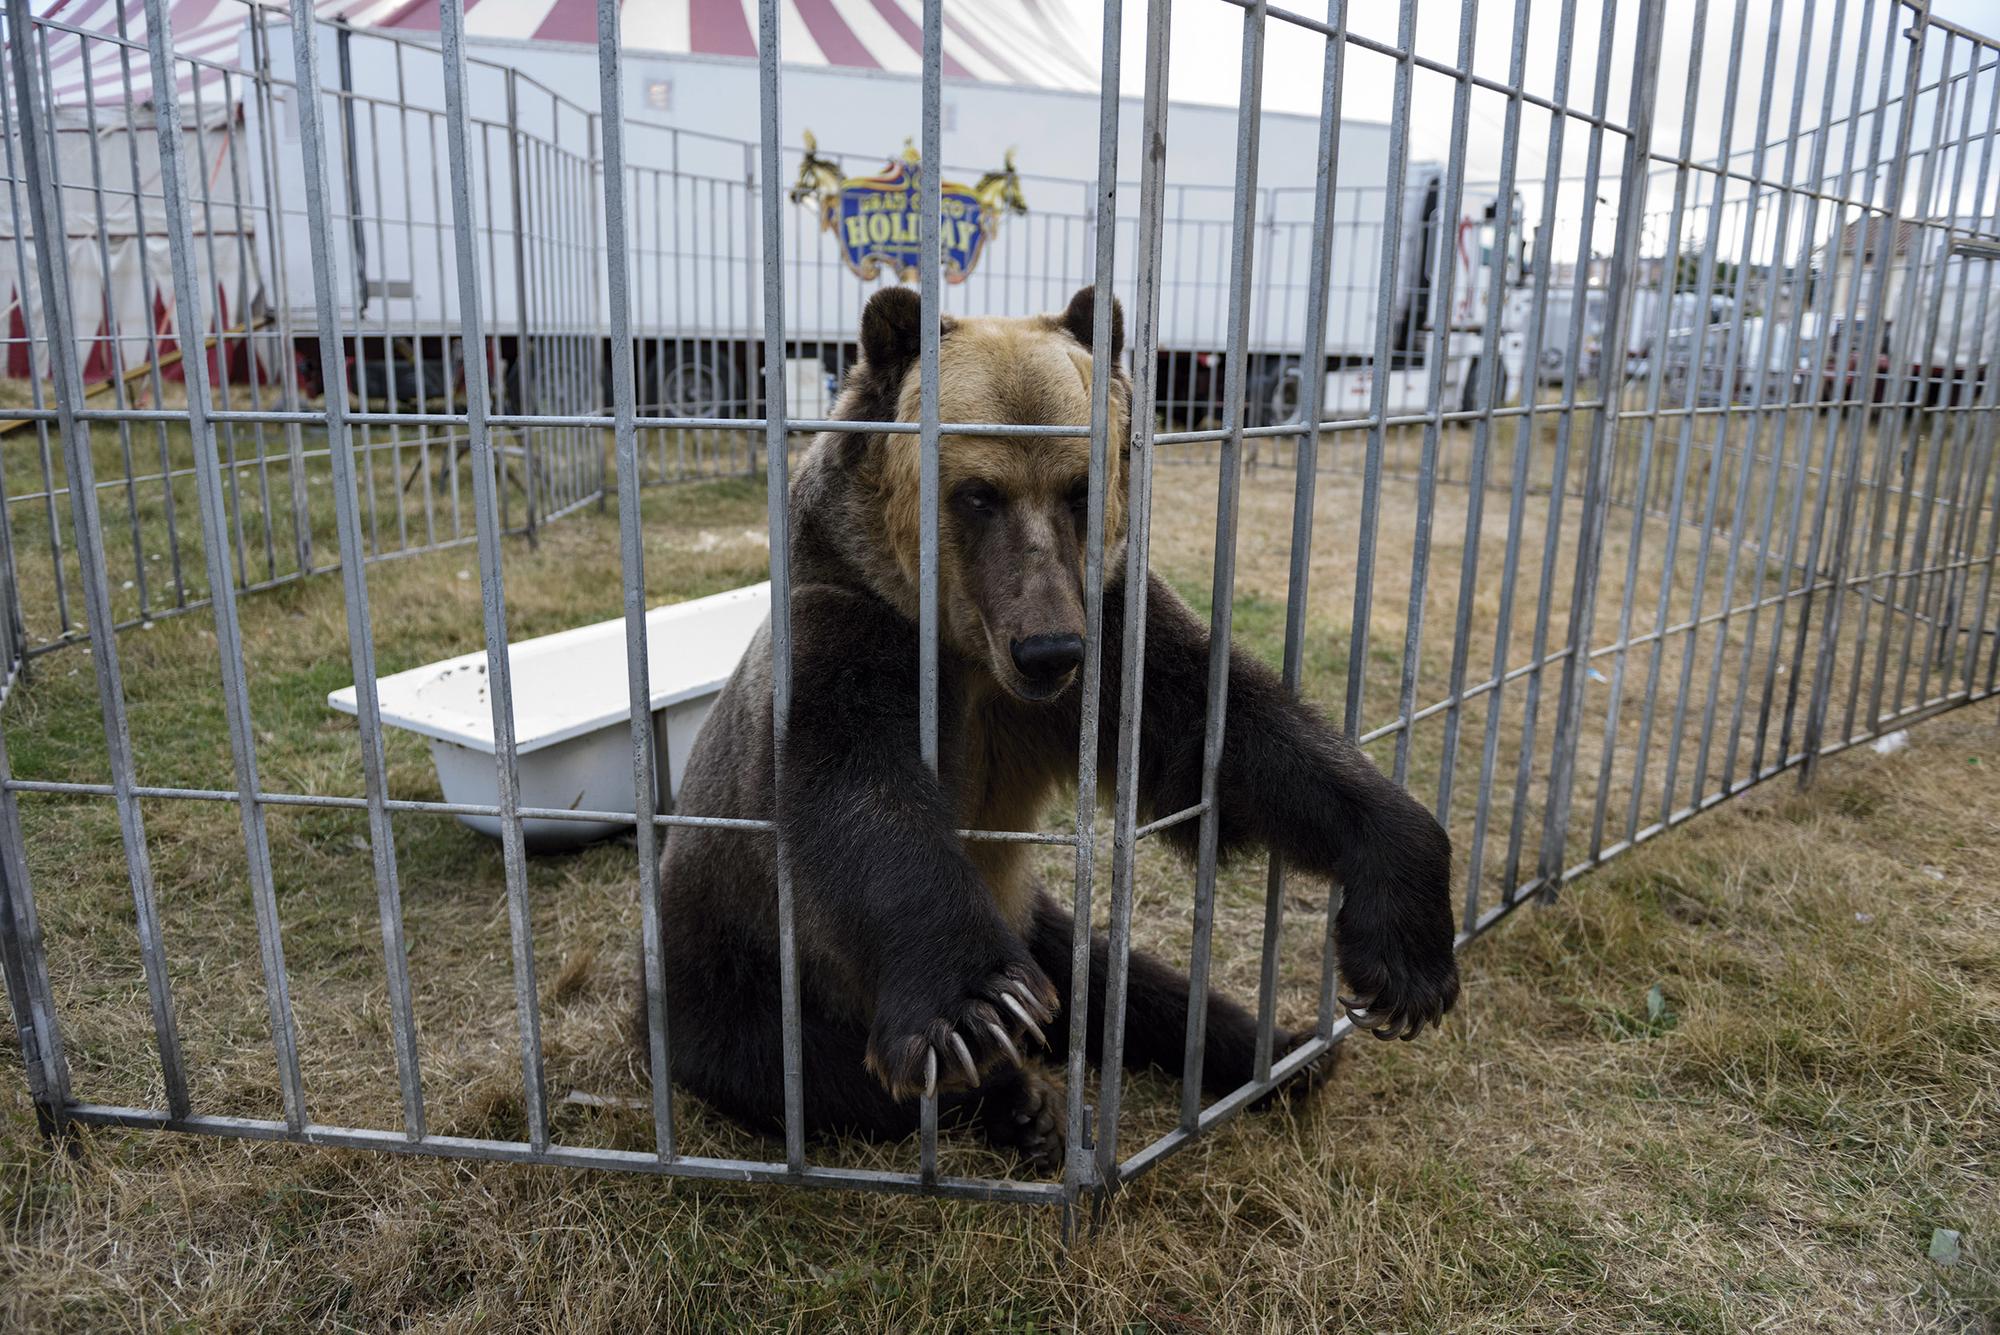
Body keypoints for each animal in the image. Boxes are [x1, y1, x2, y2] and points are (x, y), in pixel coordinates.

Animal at [648, 281, 1464, 1167]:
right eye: (978, 493)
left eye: (1081, 488)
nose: (1047, 649)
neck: (972, 655)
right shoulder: (849, 633)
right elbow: (862, 800)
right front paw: (977, 1011)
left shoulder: (1110, 637)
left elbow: (1231, 739)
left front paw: (1407, 958)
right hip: (732, 974)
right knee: (807, 1070)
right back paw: (1019, 1098)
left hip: (1032, 914)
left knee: (1124, 980)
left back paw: (1278, 1051)